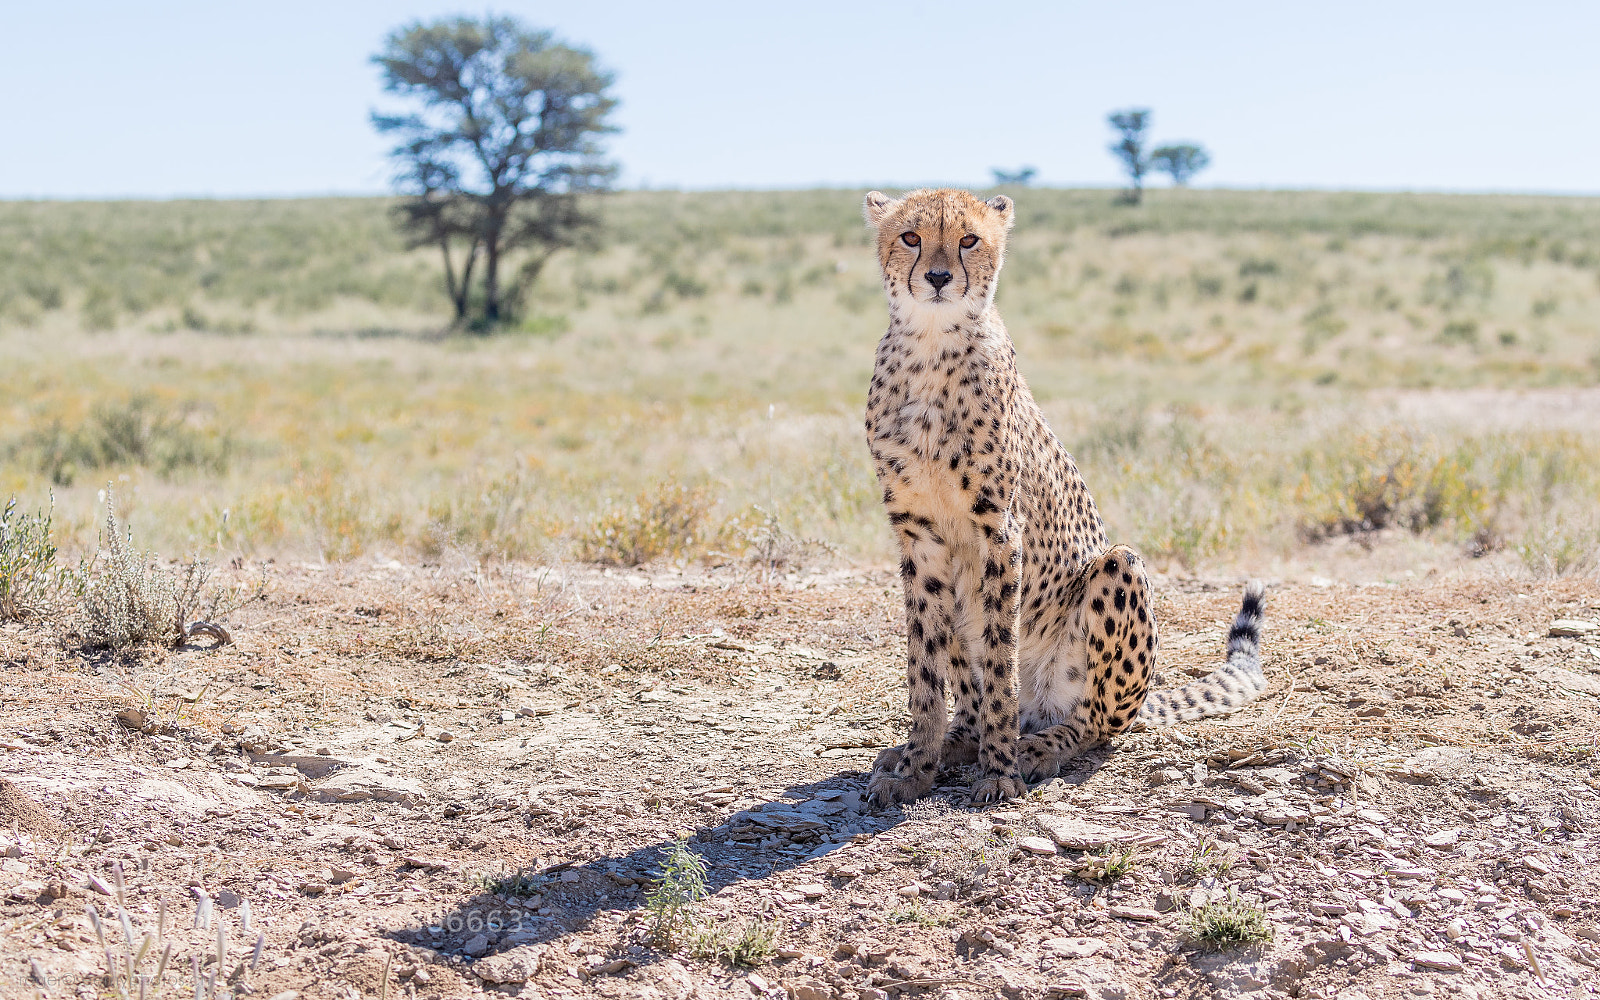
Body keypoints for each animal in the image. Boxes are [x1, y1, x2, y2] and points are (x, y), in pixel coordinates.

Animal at [859, 187, 1269, 807]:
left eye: (968, 239)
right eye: (911, 237)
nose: (937, 276)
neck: (930, 344)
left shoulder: (1000, 532)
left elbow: (998, 659)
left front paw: (998, 773)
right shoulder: (918, 535)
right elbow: (925, 669)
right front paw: (915, 768)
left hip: (1117, 574)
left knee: (1092, 722)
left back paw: (1036, 747)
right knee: (972, 692)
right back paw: (957, 740)